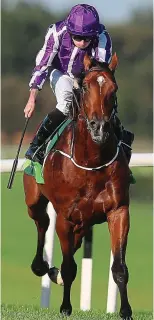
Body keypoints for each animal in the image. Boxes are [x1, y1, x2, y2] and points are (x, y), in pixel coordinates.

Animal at [22, 53, 132, 318]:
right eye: (85, 87)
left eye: (113, 89)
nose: (99, 127)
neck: (92, 161)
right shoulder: (66, 216)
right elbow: (69, 266)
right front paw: (65, 307)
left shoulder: (119, 211)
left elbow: (119, 267)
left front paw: (125, 310)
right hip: (34, 200)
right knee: (42, 222)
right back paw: (42, 266)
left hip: (86, 220)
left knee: (76, 239)